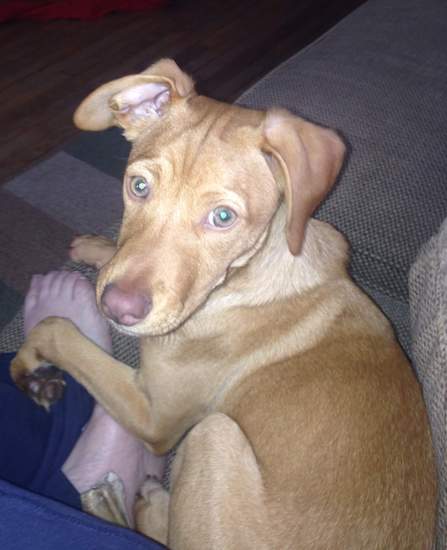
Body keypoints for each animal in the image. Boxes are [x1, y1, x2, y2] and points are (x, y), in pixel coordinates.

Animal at [11, 58, 438, 548]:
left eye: (222, 217)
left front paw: (28, 366)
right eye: (138, 186)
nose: (118, 310)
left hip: (213, 434)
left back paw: (131, 499)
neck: (242, 279)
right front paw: (94, 248)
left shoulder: (155, 416)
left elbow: (55, 328)